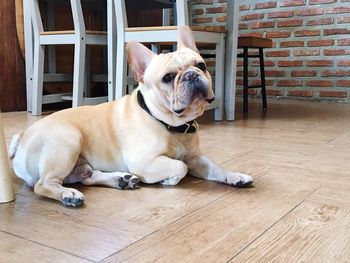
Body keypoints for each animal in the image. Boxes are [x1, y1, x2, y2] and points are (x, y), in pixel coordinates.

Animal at [9, 26, 253, 208]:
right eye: (168, 78)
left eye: (201, 65)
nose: (192, 76)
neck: (171, 125)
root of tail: (22, 136)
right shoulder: (145, 161)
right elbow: (180, 167)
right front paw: (169, 179)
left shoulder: (196, 157)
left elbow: (215, 168)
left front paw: (235, 176)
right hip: (68, 139)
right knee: (43, 184)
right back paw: (69, 194)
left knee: (86, 175)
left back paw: (120, 180)